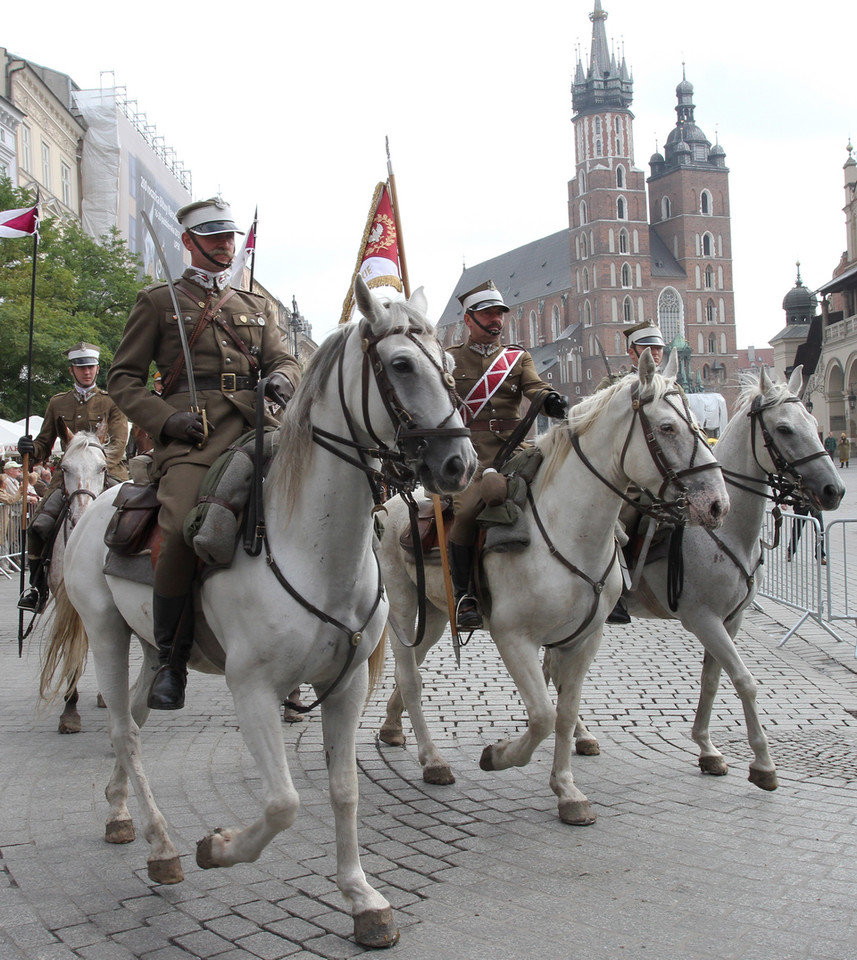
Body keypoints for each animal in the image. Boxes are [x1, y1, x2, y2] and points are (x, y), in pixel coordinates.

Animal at [51, 280, 478, 952]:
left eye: (452, 370)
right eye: (403, 365)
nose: (459, 463)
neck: (311, 546)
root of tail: (101, 503)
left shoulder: (345, 686)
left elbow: (343, 790)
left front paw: (363, 899)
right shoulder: (251, 688)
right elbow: (283, 803)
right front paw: (219, 848)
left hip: (151, 646)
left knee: (135, 722)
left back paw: (123, 812)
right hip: (106, 636)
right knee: (123, 730)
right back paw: (164, 846)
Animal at [378, 352, 724, 824]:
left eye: (698, 423)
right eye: (668, 427)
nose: (717, 503)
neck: (568, 530)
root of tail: (396, 500)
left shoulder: (584, 639)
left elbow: (564, 712)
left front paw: (567, 792)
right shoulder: (513, 638)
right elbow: (542, 716)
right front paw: (497, 755)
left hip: (432, 614)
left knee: (408, 669)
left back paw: (393, 729)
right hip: (402, 607)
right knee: (410, 676)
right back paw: (432, 760)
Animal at [596, 366, 844, 788]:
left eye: (813, 424)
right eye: (784, 429)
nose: (834, 490)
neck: (724, 530)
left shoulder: (731, 619)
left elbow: (712, 680)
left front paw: (707, 749)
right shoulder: (703, 619)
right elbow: (744, 680)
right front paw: (763, 763)